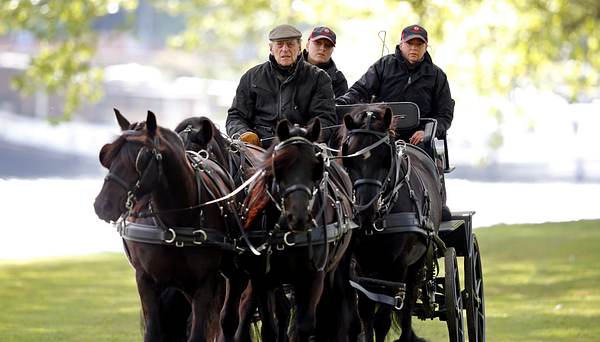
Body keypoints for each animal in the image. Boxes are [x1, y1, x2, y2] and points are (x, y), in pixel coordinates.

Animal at [94, 111, 234, 340]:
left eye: (139, 159)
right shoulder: (146, 280)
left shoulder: (205, 283)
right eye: (108, 156)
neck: (175, 225)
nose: (102, 205)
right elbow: (154, 331)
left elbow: (198, 332)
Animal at [220, 119, 358, 340]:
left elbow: (304, 326)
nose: (299, 217)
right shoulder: (262, 279)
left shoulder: (313, 277)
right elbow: (269, 328)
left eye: (316, 166)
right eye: (278, 165)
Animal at [340, 105, 442, 342]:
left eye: (385, 158)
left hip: (417, 264)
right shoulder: (359, 266)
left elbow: (384, 320)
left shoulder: (398, 266)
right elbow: (365, 314)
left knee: (408, 304)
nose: (365, 210)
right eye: (348, 157)